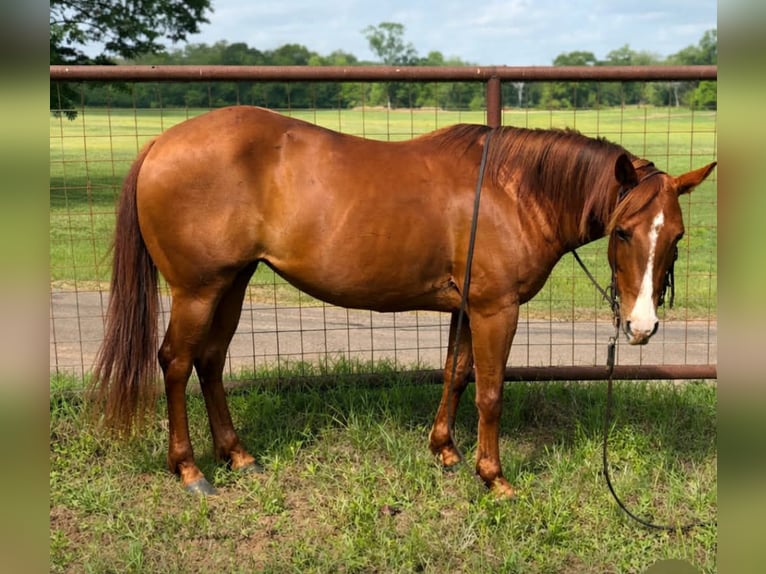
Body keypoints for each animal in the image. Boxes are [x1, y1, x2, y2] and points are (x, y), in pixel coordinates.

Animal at [89, 106, 716, 497]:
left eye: (677, 235)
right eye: (623, 232)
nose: (641, 325)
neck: (512, 191)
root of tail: (161, 142)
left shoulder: (466, 309)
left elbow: (456, 375)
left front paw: (445, 451)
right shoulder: (496, 309)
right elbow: (490, 392)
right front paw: (494, 477)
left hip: (233, 283)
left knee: (211, 361)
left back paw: (236, 453)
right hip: (198, 289)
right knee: (175, 363)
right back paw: (189, 469)